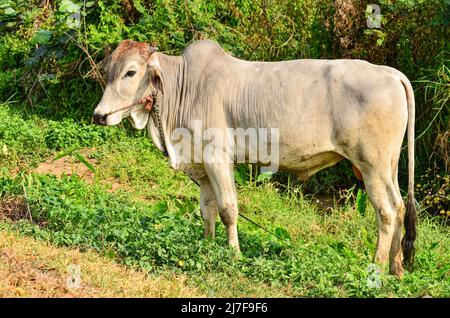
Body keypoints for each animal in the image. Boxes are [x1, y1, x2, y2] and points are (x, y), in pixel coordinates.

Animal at [93, 40, 416, 278]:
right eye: (109, 69)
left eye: (130, 72)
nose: (99, 115)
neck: (184, 88)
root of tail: (392, 74)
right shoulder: (202, 165)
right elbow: (207, 211)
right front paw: (208, 245)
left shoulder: (218, 157)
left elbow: (227, 209)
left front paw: (235, 255)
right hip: (388, 166)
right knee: (400, 207)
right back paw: (396, 268)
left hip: (372, 166)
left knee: (386, 212)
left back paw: (376, 268)